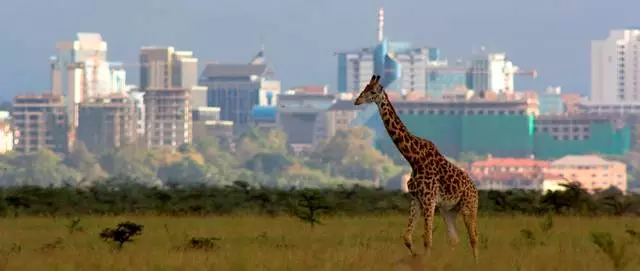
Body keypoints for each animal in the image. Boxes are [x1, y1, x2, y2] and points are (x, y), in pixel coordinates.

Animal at [352, 74, 478, 262]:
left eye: (373, 91)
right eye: (364, 88)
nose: (357, 101)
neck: (413, 159)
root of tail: (476, 189)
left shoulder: (429, 200)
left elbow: (427, 239)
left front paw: (425, 261)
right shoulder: (416, 199)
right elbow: (407, 238)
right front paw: (417, 257)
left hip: (469, 206)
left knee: (474, 238)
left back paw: (476, 263)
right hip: (448, 211)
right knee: (454, 239)